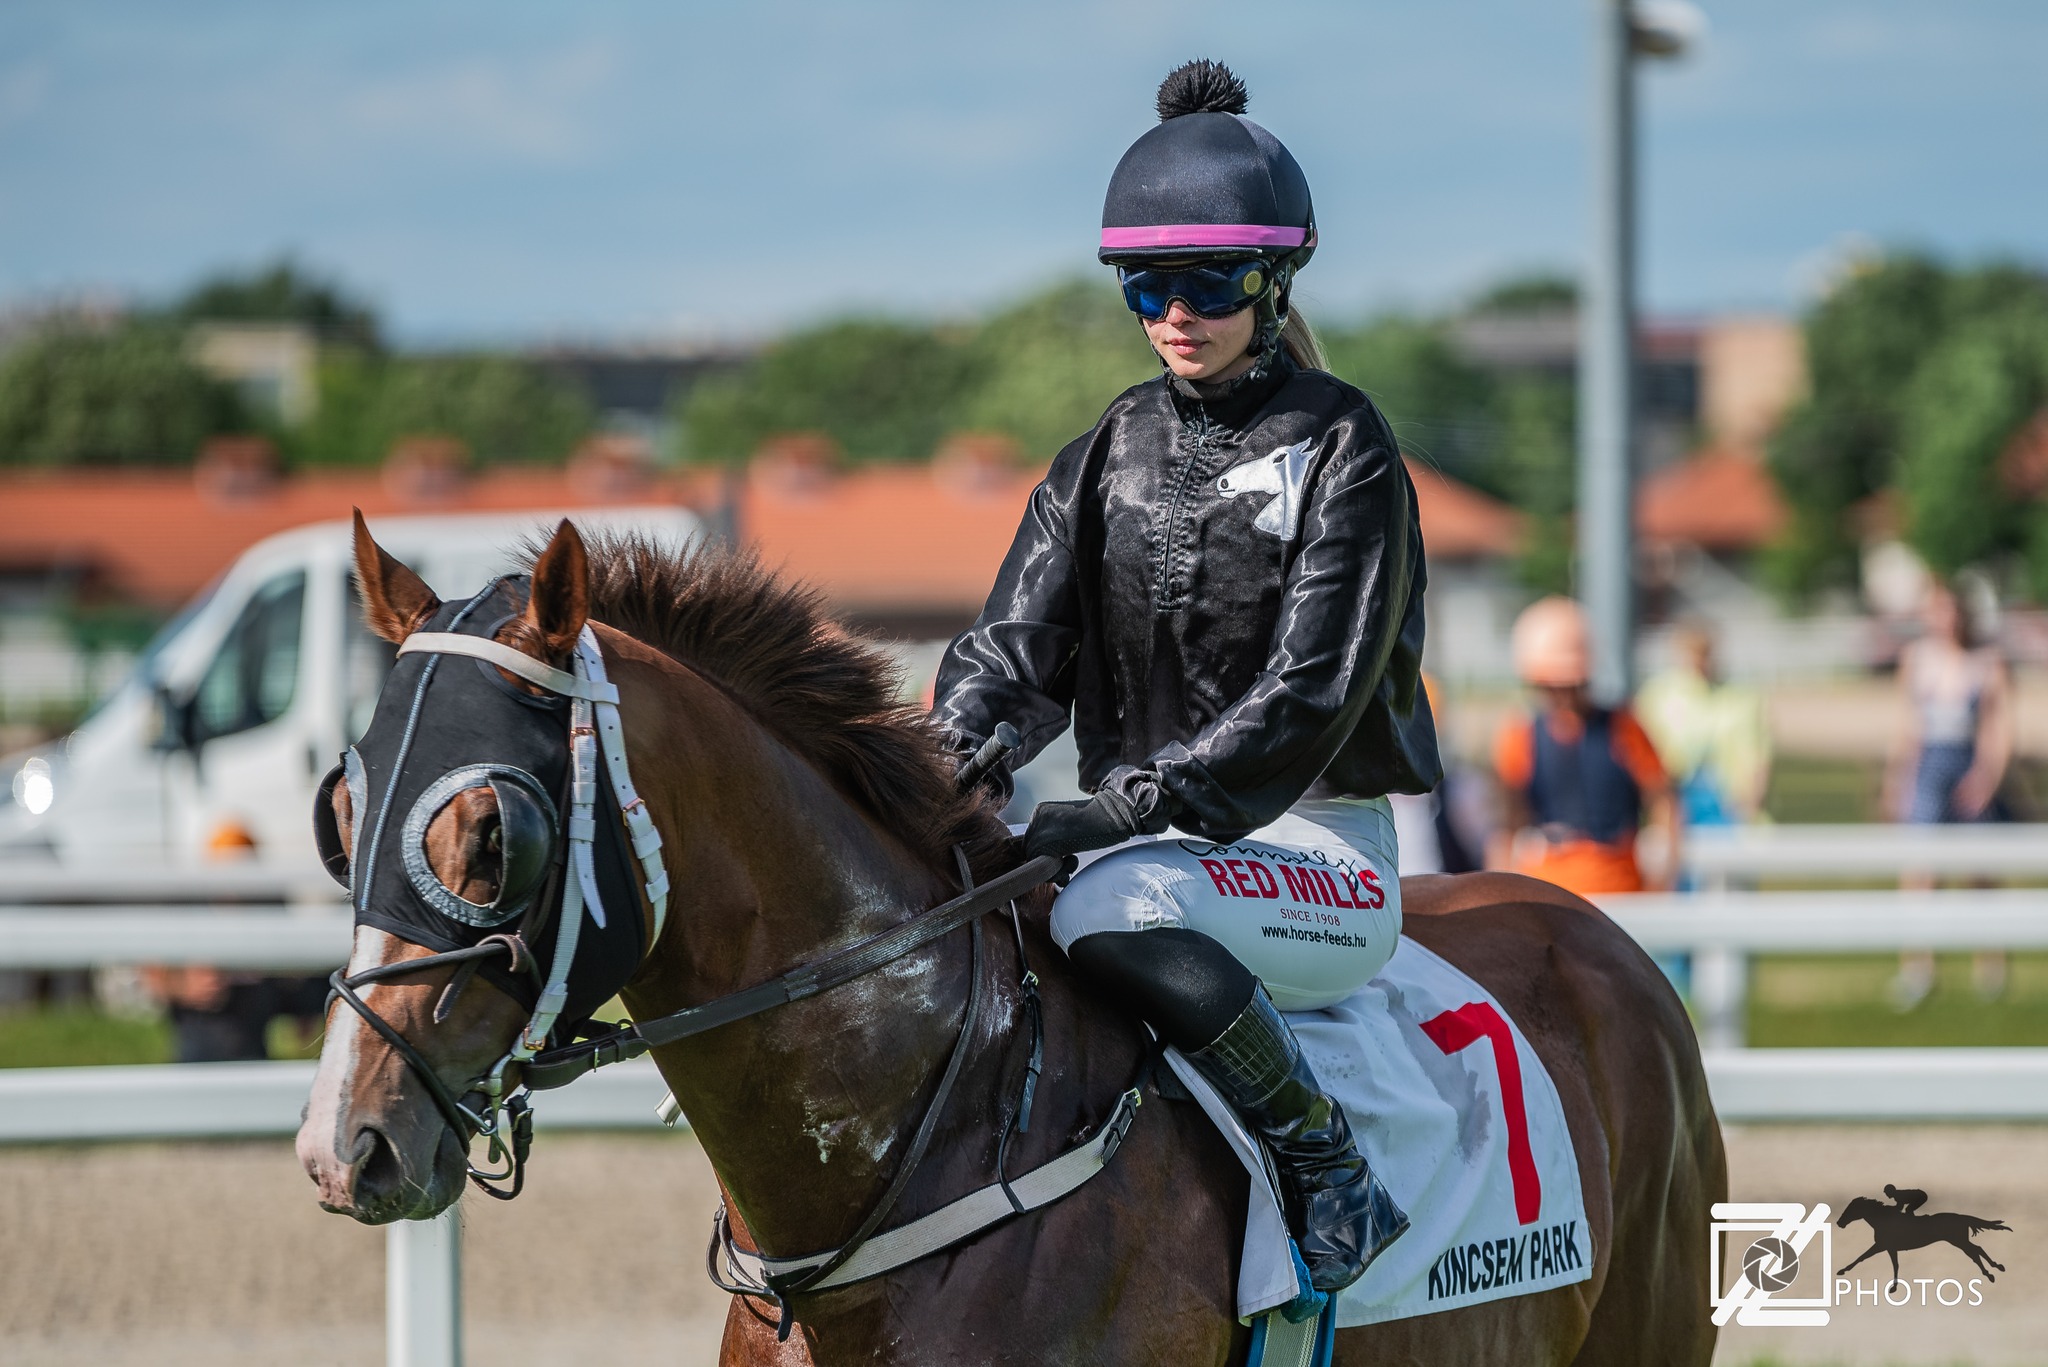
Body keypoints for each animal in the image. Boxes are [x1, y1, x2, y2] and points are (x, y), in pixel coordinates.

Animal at [1835, 1188, 2007, 1287]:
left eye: (1851, 1209)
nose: (1839, 1222)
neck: (1882, 1219)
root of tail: (1961, 1217)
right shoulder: (1889, 1247)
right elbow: (1895, 1265)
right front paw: (1894, 1287)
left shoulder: (1882, 1245)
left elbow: (1862, 1257)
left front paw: (1842, 1270)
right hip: (1960, 1240)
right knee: (1976, 1250)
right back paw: (1994, 1269)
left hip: (1958, 1240)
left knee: (1975, 1252)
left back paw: (1992, 1271)